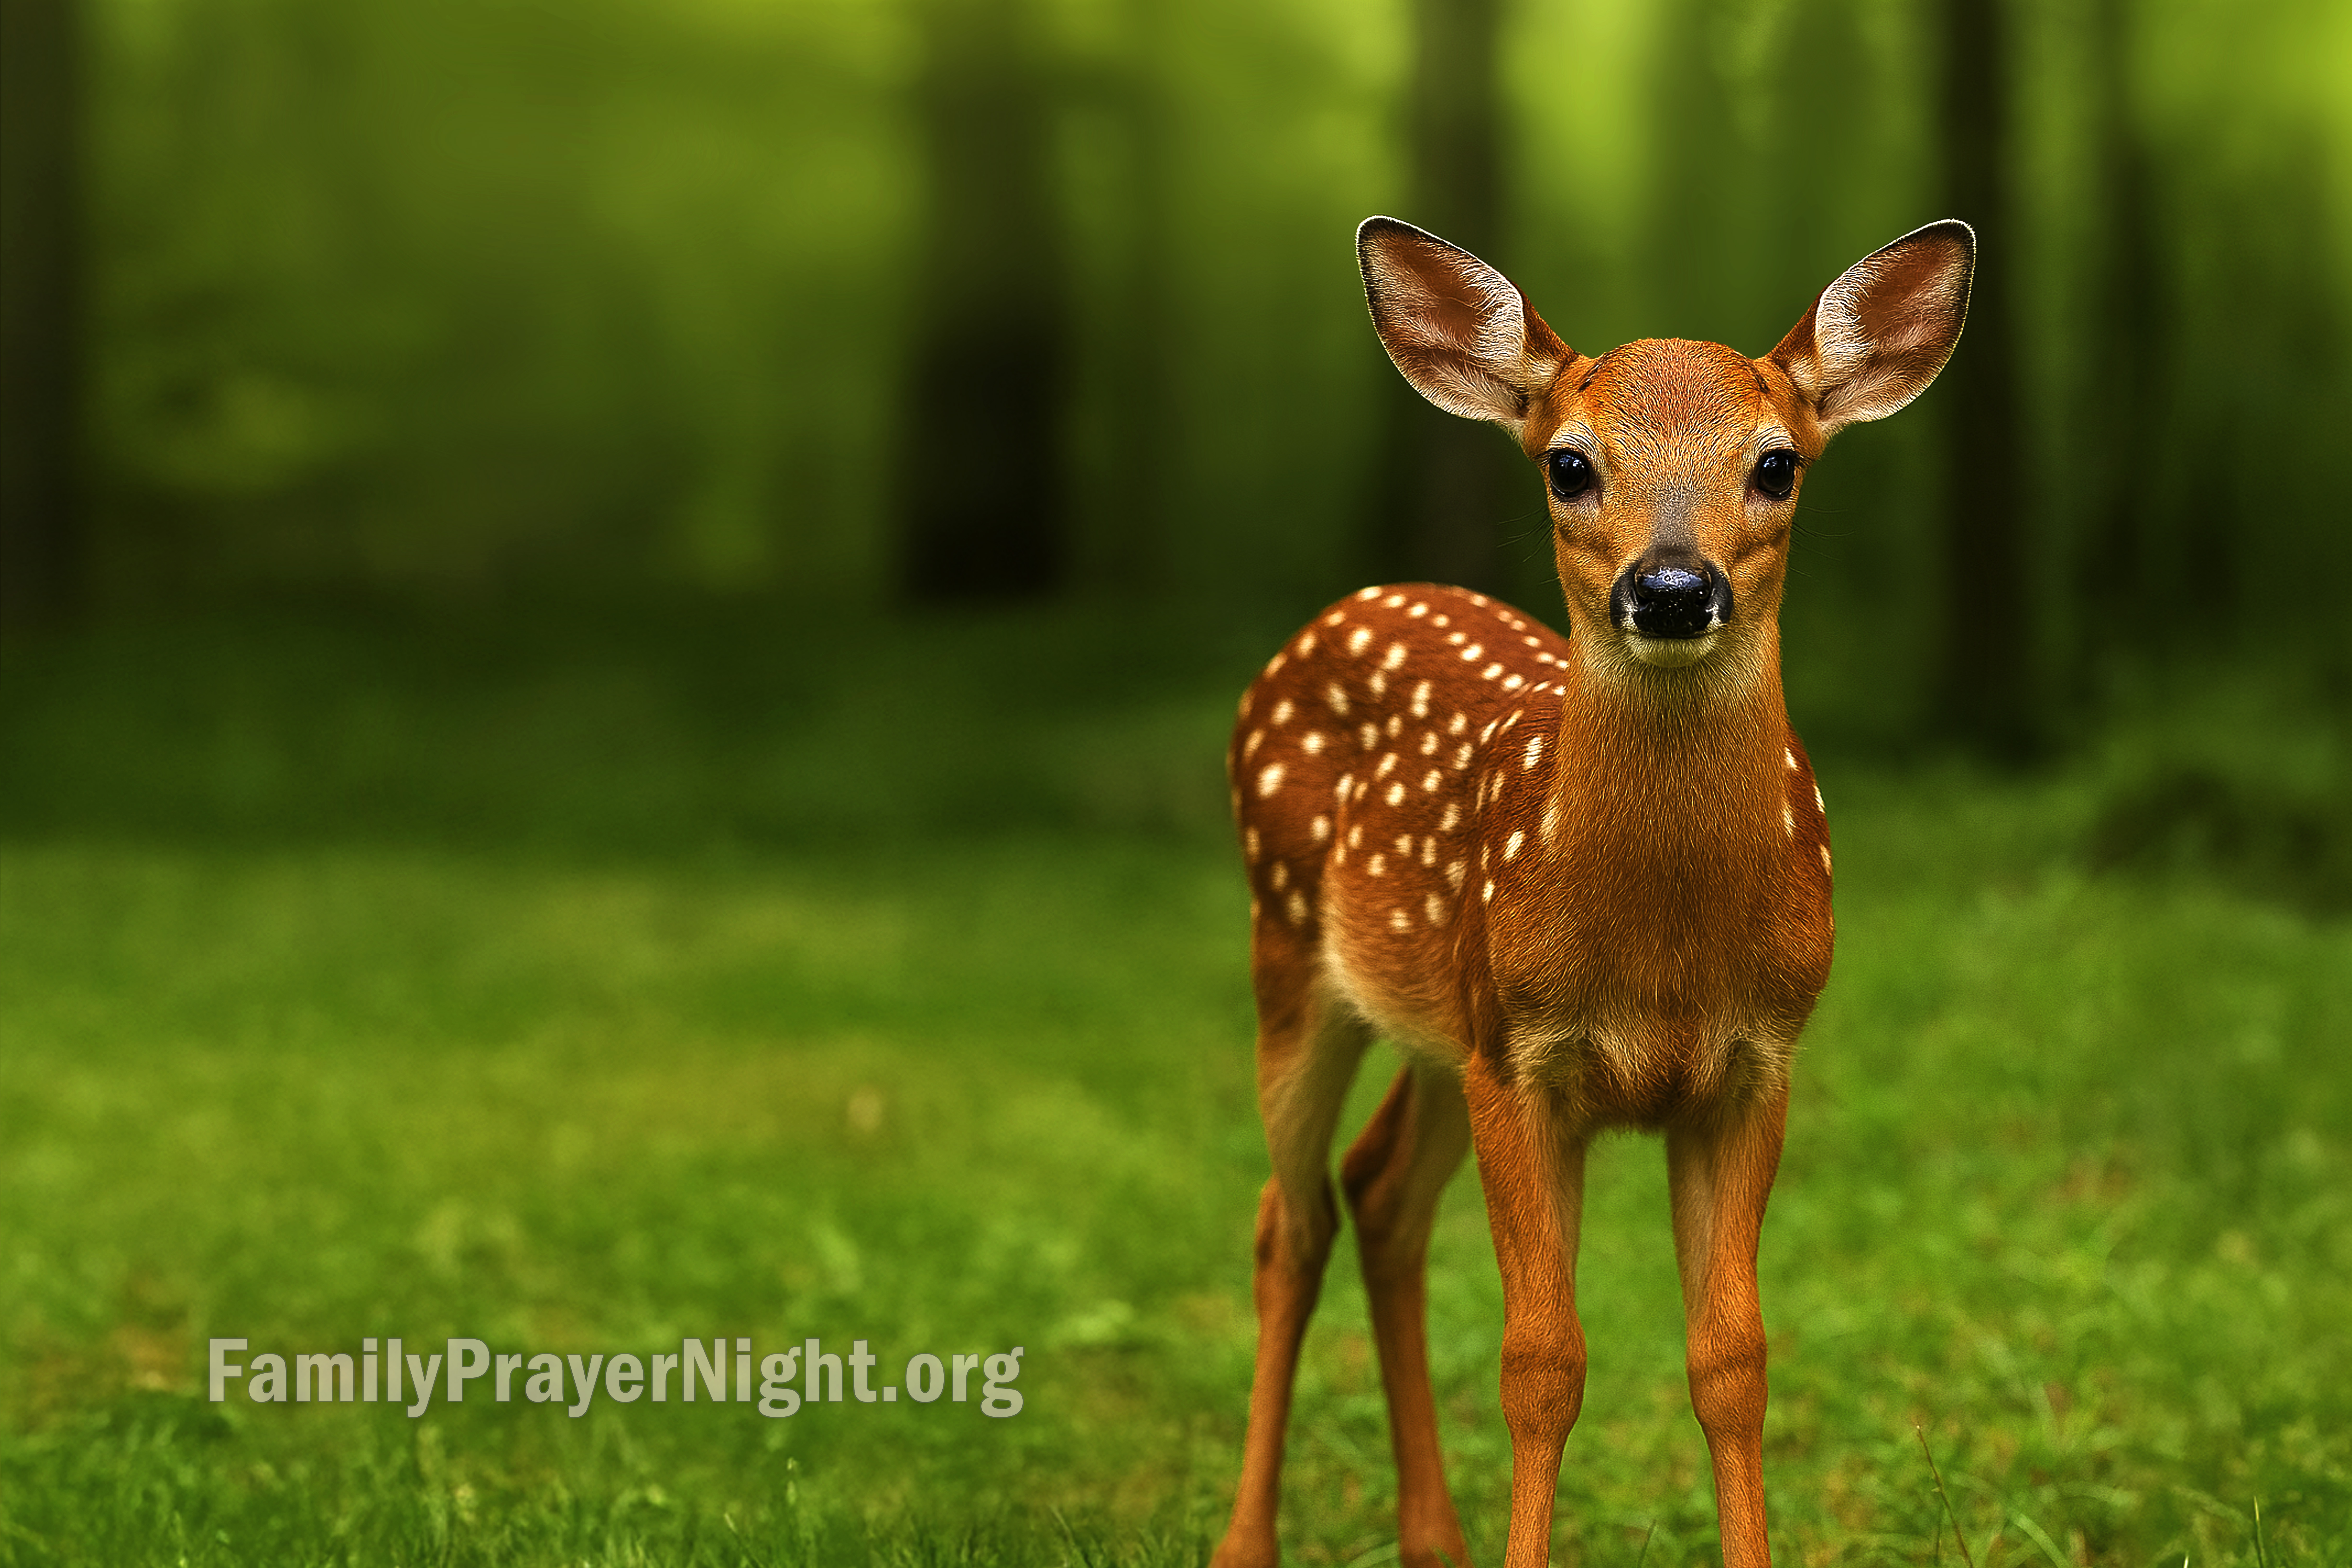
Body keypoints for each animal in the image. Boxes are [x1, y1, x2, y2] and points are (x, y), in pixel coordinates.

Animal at [1215, 216, 1974, 1568]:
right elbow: (1541, 1363)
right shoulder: (1525, 1060)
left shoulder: (1752, 1062)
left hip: (1439, 1024)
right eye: (1569, 465)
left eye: (1776, 463)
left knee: (1378, 1198)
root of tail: (1345, 606)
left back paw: (1434, 1538)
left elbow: (1732, 1362)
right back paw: (1245, 1543)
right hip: (1291, 952)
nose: (1670, 589)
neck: (1660, 949)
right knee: (1285, 1222)